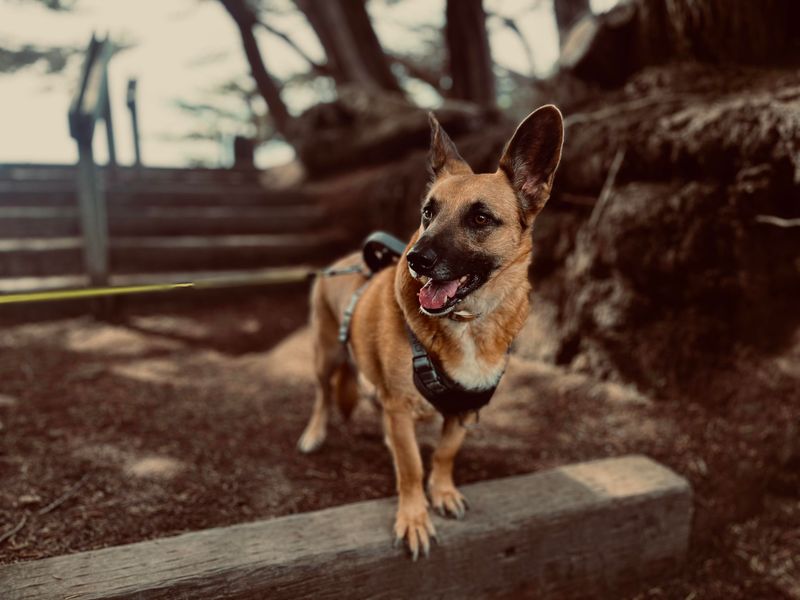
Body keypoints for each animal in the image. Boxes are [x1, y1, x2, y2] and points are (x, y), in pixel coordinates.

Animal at [296, 105, 564, 560]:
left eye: (480, 218)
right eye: (427, 213)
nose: (415, 260)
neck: (467, 321)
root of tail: (346, 259)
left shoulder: (464, 411)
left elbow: (443, 454)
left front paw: (442, 492)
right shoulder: (401, 410)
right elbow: (410, 467)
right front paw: (414, 518)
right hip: (325, 354)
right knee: (323, 395)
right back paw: (315, 433)